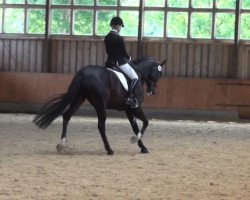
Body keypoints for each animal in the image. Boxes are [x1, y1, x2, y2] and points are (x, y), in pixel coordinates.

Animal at [33, 55, 166, 155]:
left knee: (67, 116)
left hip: (79, 98)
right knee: (101, 126)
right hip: (100, 104)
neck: (138, 74)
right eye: (158, 74)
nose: (152, 91)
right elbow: (145, 122)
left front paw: (142, 147)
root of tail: (84, 73)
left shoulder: (128, 109)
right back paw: (109, 150)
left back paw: (61, 144)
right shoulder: (136, 107)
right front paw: (135, 141)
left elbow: (135, 127)